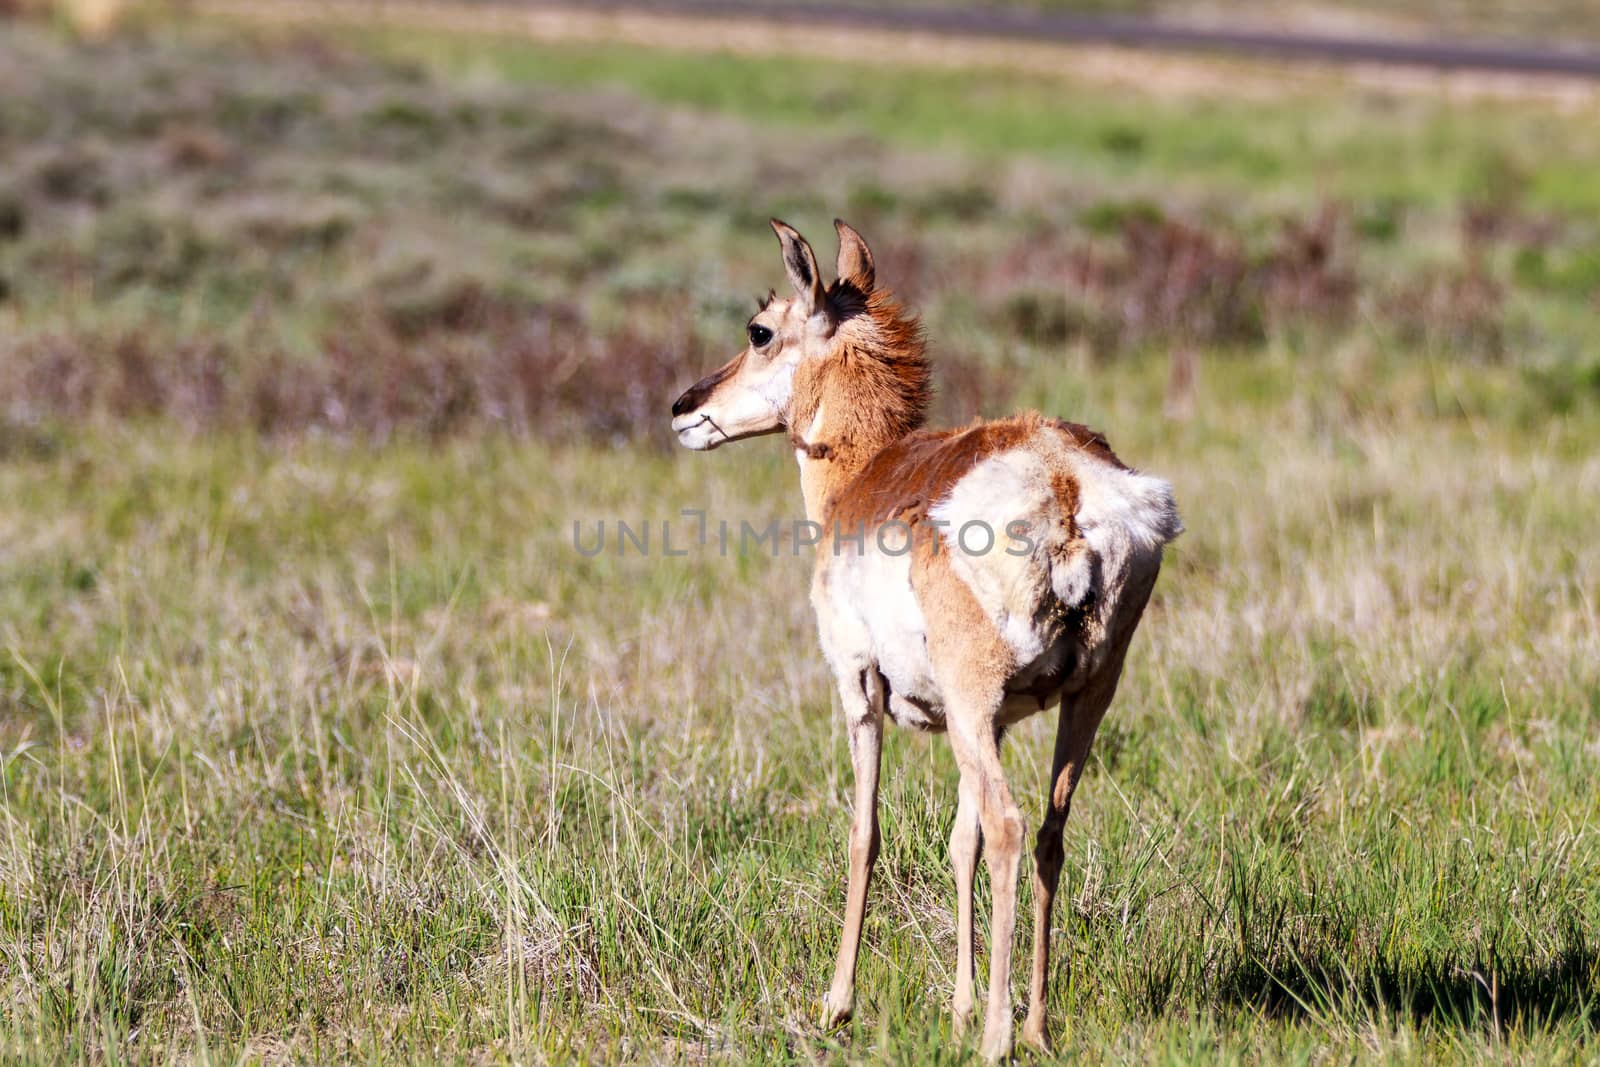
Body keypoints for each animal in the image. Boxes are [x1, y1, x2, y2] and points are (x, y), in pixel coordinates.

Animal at [668, 219, 1184, 1062]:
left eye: (759, 330)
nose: (682, 406)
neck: (860, 475)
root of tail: (1067, 486)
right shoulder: (990, 724)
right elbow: (957, 842)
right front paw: (960, 1005)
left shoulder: (860, 690)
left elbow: (865, 832)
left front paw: (837, 1004)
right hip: (1084, 699)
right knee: (1047, 833)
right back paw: (1035, 1024)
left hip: (981, 701)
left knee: (1010, 829)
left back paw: (1000, 1038)